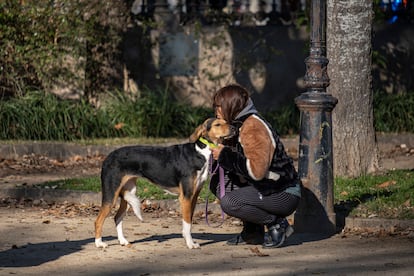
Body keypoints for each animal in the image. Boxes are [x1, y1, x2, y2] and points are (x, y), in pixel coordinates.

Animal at [95, 117, 234, 249]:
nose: (234, 128)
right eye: (217, 124)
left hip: (127, 193)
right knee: (98, 220)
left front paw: (188, 239)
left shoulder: (193, 196)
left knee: (117, 217)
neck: (200, 151)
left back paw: (123, 241)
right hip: (111, 195)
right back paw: (99, 243)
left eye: (225, 121)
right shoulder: (186, 197)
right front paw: (190, 244)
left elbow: (189, 221)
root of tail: (108, 157)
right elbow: (187, 223)